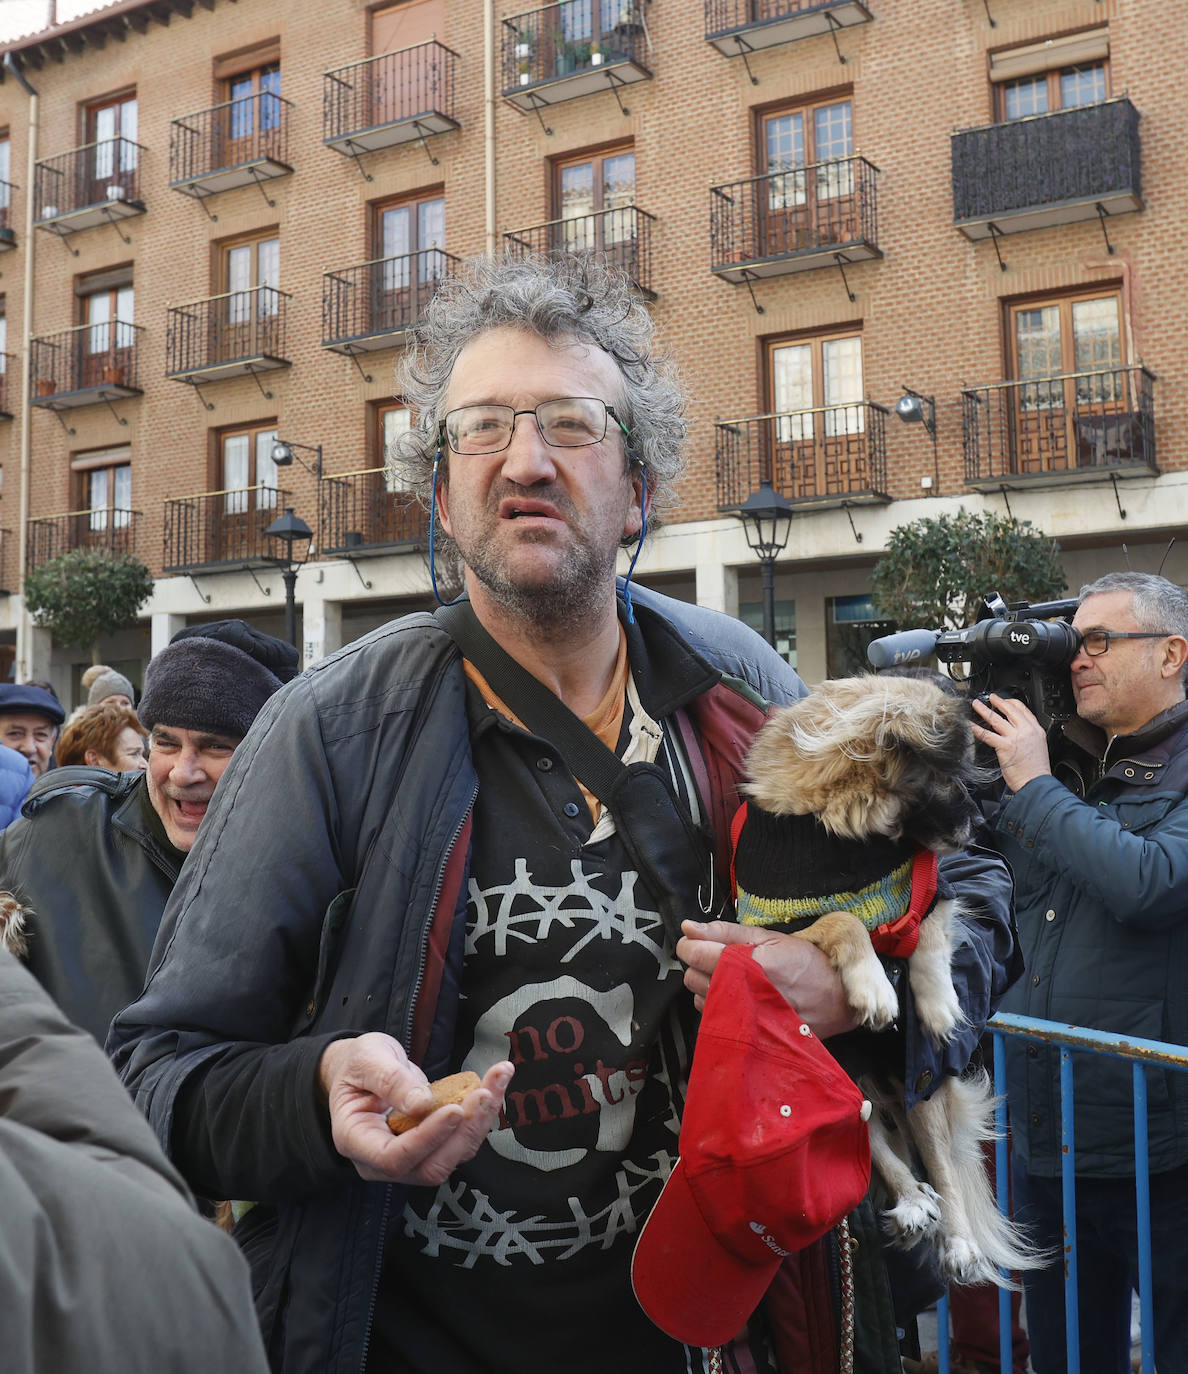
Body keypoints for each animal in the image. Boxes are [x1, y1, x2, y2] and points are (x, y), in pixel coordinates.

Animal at [736, 676, 1032, 1286]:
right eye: (940, 776)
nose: (980, 827)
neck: (845, 835)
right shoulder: (778, 923)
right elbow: (845, 920)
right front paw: (873, 985)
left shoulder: (930, 890)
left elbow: (927, 939)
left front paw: (939, 1006)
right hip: (844, 1085)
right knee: (880, 1150)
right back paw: (913, 1202)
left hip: (920, 1087)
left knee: (941, 1169)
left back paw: (958, 1240)